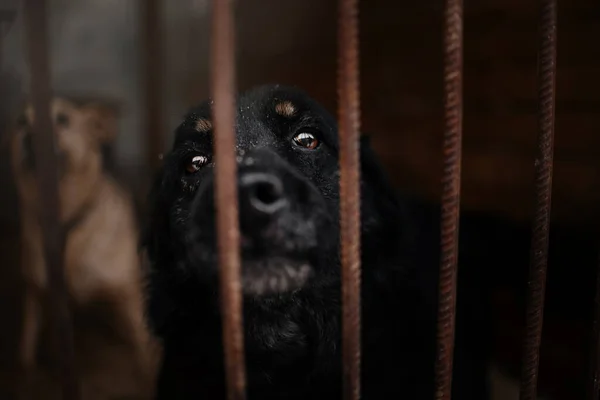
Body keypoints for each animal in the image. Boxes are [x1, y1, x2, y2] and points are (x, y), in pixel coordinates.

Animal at [9, 97, 159, 400]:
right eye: (21, 122)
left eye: (63, 119)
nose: (29, 136)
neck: (66, 225)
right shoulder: (43, 295)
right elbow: (34, 346)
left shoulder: (129, 299)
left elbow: (145, 358)